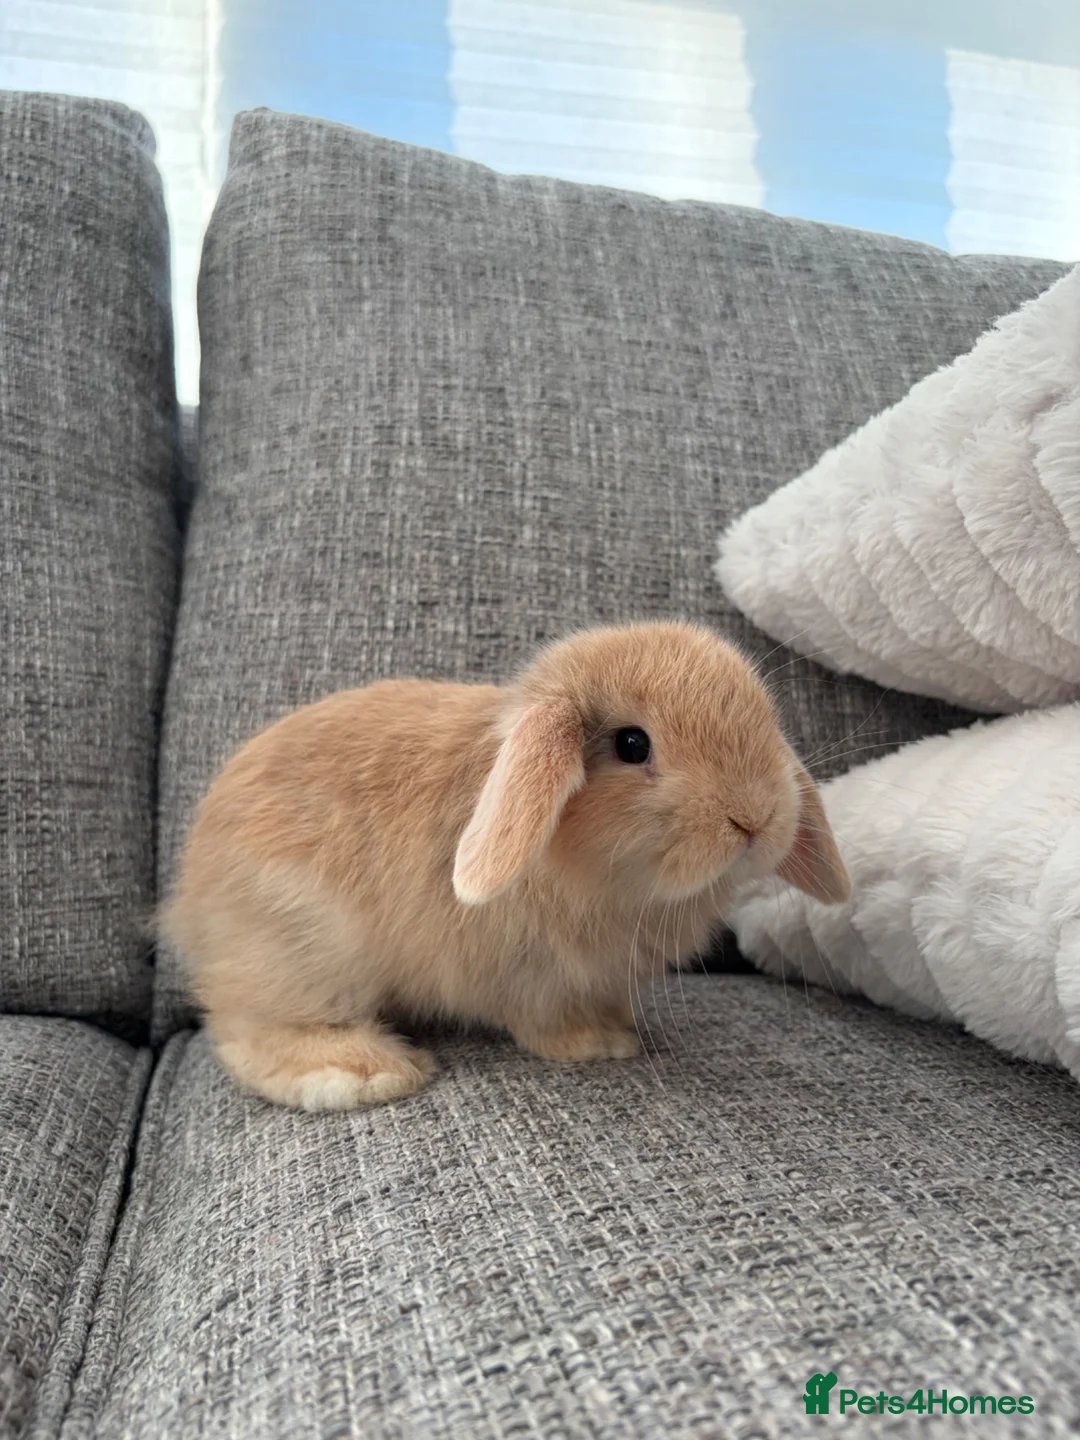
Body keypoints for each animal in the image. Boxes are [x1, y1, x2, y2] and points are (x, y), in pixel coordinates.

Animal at [161, 621, 850, 1111]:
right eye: (632, 744)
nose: (755, 817)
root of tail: (192, 901)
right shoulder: (530, 974)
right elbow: (543, 1019)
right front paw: (600, 1045)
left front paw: (616, 1028)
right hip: (305, 945)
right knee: (248, 1029)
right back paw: (365, 1073)